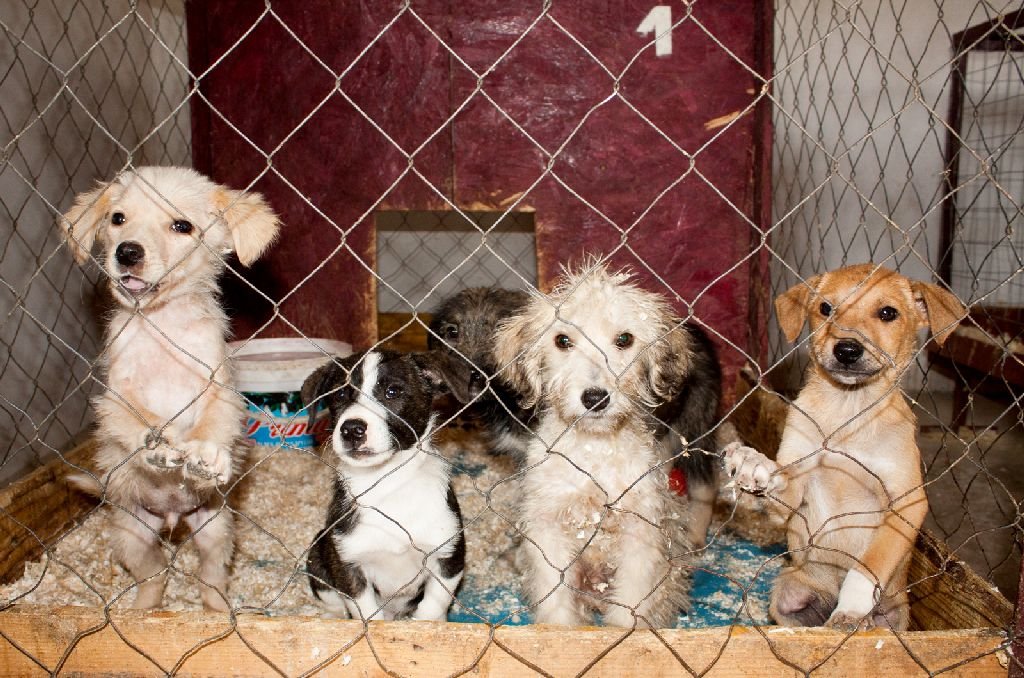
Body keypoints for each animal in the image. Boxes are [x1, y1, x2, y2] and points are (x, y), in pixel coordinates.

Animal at [59, 166, 280, 610]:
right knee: (154, 574)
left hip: (214, 529)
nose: (127, 252)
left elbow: (212, 420)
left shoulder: (218, 386)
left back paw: (217, 611)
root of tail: (172, 517)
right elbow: (133, 419)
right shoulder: (115, 395)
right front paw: (157, 445)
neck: (162, 324)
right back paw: (143, 611)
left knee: (210, 577)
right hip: (134, 534)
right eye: (118, 219)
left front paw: (206, 452)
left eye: (182, 226)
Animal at [302, 349, 465, 621]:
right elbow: (367, 614)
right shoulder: (348, 564)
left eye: (392, 392)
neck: (387, 482)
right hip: (318, 551)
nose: (351, 429)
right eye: (341, 394)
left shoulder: (448, 557)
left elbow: (432, 609)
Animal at [493, 261, 723, 628]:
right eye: (562, 341)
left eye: (624, 339)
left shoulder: (640, 534)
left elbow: (629, 607)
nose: (595, 398)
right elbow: (557, 607)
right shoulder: (548, 530)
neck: (594, 453)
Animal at [724, 263, 965, 631]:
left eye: (887, 313)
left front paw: (852, 608)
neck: (847, 412)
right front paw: (753, 462)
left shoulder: (906, 503)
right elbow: (780, 482)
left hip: (896, 615)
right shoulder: (794, 493)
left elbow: (869, 564)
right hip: (787, 595)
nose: (847, 350)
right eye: (826, 308)